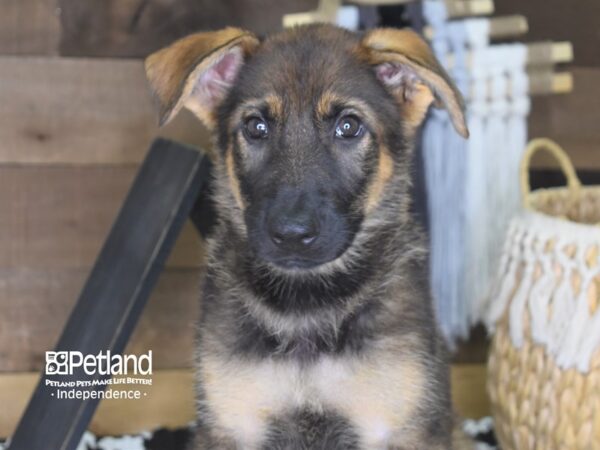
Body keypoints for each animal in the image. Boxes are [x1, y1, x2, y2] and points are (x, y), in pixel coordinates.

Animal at [145, 23, 468, 450]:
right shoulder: (231, 425)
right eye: (256, 127)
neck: (307, 307)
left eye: (348, 126)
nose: (292, 234)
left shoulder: (401, 427)